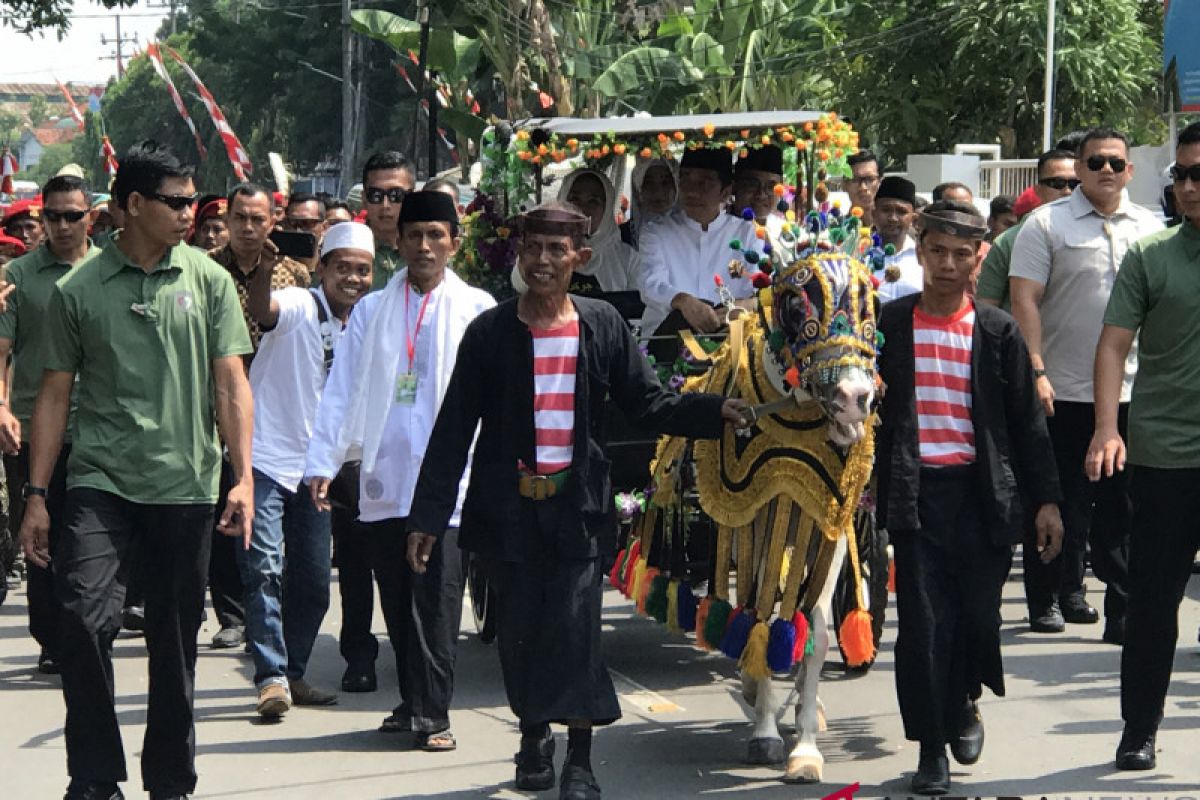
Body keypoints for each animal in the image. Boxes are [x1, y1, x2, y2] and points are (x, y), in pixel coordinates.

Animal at [609, 211, 883, 782]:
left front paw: (805, 744)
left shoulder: (824, 522)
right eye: (797, 306)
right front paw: (763, 724)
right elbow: (756, 614)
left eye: (868, 304)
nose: (855, 398)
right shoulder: (750, 519)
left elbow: (814, 631)